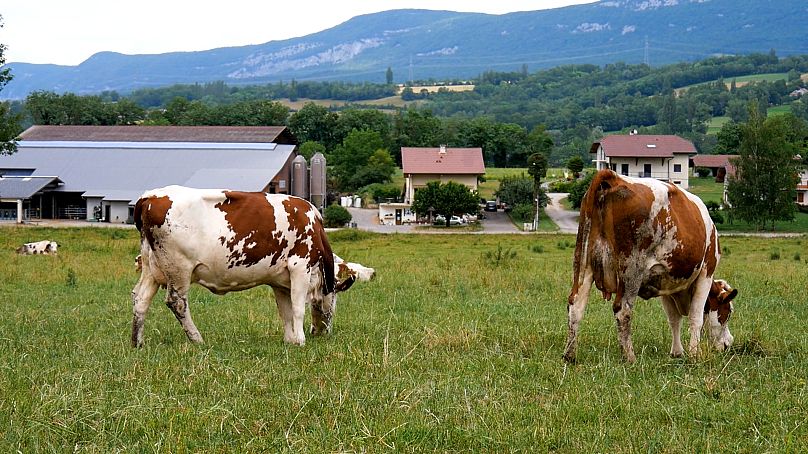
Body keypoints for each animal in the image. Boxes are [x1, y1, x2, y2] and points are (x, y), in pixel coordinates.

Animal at [130, 185, 376, 348]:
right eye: (333, 300)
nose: (323, 332)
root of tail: (149, 196)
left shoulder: (280, 282)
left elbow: (285, 311)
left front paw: (290, 340)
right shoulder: (300, 267)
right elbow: (297, 308)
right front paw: (301, 340)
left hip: (152, 267)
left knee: (140, 298)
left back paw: (137, 342)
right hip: (179, 269)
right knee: (177, 302)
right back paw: (197, 339)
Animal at [560, 168, 740, 364]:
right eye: (727, 312)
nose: (728, 343)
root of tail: (614, 178)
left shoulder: (666, 282)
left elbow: (674, 319)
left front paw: (677, 352)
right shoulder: (705, 274)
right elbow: (696, 317)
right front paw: (694, 354)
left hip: (582, 262)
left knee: (576, 305)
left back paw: (570, 355)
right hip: (631, 270)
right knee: (623, 310)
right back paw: (630, 357)